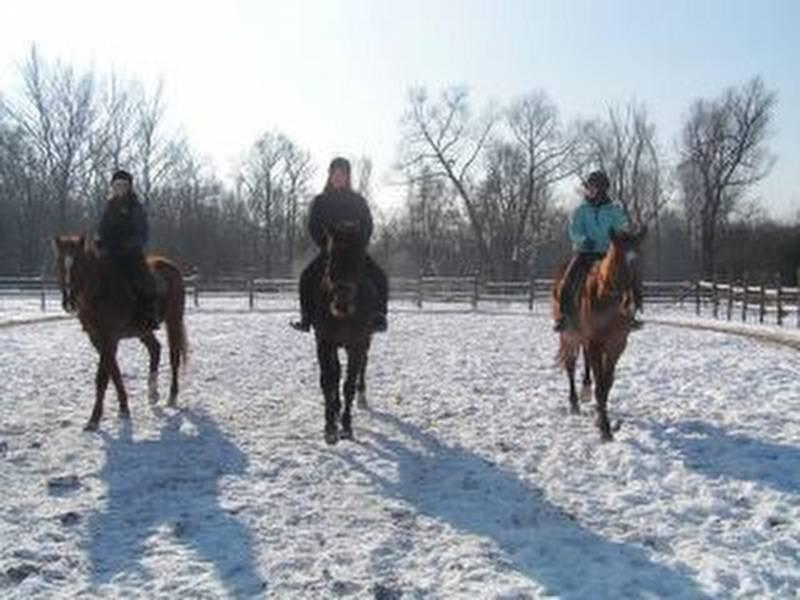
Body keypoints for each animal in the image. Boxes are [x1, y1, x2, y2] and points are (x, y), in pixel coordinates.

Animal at [52, 234, 188, 432]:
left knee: (174, 356)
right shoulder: (98, 340)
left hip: (174, 321)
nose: (69, 302)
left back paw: (172, 396)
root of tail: (171, 267)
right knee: (155, 348)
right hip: (143, 329)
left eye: (79, 264)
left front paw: (94, 419)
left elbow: (102, 377)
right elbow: (114, 372)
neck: (100, 291)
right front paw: (124, 409)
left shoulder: (110, 339)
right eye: (60, 264)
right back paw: (152, 393)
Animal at [310, 221, 378, 446]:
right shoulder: (324, 343)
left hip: (366, 341)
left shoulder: (356, 344)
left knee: (362, 366)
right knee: (336, 373)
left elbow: (348, 384)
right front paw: (330, 428)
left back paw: (361, 398)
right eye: (330, 259)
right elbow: (328, 381)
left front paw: (347, 428)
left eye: (358, 261)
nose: (342, 305)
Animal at [552, 229, 648, 440]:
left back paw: (585, 391)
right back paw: (574, 403)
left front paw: (601, 419)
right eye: (617, 260)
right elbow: (600, 384)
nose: (631, 302)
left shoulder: (616, 345)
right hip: (569, 336)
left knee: (586, 363)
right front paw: (604, 428)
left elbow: (607, 383)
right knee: (571, 365)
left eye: (641, 259)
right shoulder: (594, 342)